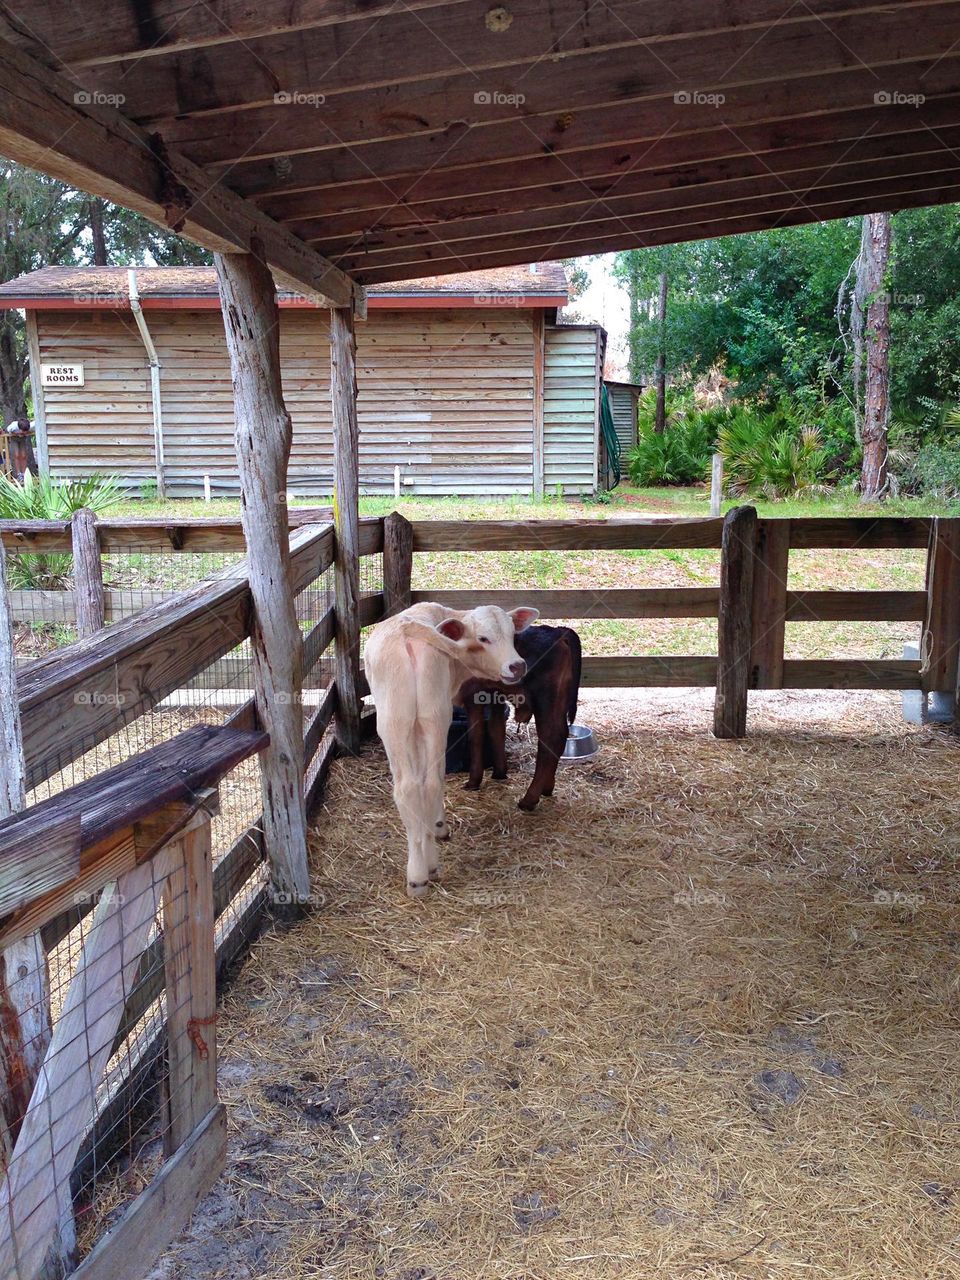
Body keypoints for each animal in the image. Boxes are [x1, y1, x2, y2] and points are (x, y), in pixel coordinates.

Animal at [365, 601, 539, 896]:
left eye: (512, 635)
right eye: (483, 638)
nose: (517, 666)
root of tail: (407, 634)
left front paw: (435, 828)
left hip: (411, 719)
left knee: (417, 785)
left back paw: (422, 870)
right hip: (418, 717)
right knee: (421, 784)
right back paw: (424, 869)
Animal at [455, 625, 582, 811]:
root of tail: (558, 631)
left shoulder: (472, 693)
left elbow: (476, 736)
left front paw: (473, 781)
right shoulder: (494, 693)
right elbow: (496, 729)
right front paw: (499, 773)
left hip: (544, 698)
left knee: (550, 739)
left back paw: (529, 799)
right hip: (559, 700)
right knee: (561, 736)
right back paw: (547, 787)